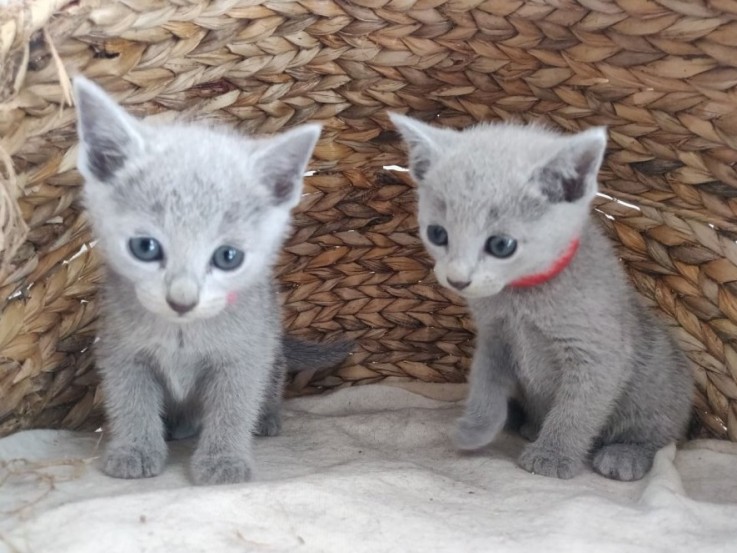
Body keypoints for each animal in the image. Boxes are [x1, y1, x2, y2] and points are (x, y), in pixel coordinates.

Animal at [75, 76, 350, 484]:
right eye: (145, 247)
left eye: (227, 257)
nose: (182, 299)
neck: (181, 334)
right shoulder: (120, 349)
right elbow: (130, 400)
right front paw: (135, 448)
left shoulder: (244, 354)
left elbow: (233, 407)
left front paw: (223, 459)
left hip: (269, 340)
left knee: (273, 378)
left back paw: (267, 418)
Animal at [388, 114, 692, 480]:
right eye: (437, 234)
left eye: (501, 245)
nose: (457, 279)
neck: (521, 297)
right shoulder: (494, 337)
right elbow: (485, 385)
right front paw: (477, 428)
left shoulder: (597, 353)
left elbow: (576, 410)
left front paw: (553, 455)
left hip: (655, 384)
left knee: (661, 436)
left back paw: (625, 455)